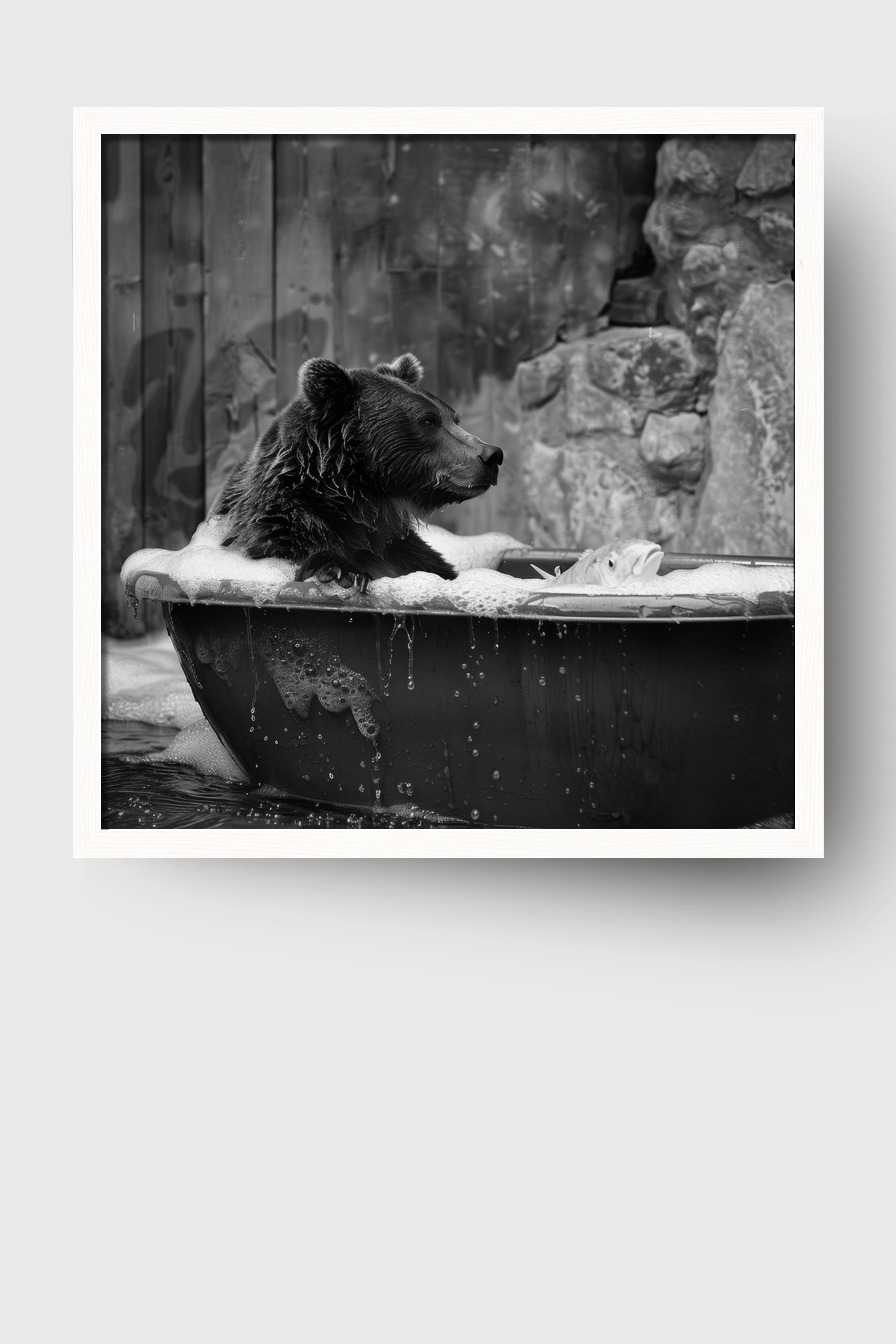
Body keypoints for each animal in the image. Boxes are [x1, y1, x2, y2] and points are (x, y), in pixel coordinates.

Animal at [212, 352, 504, 592]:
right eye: (428, 420)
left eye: (454, 418)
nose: (492, 456)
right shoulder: (282, 532)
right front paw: (341, 572)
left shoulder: (403, 551)